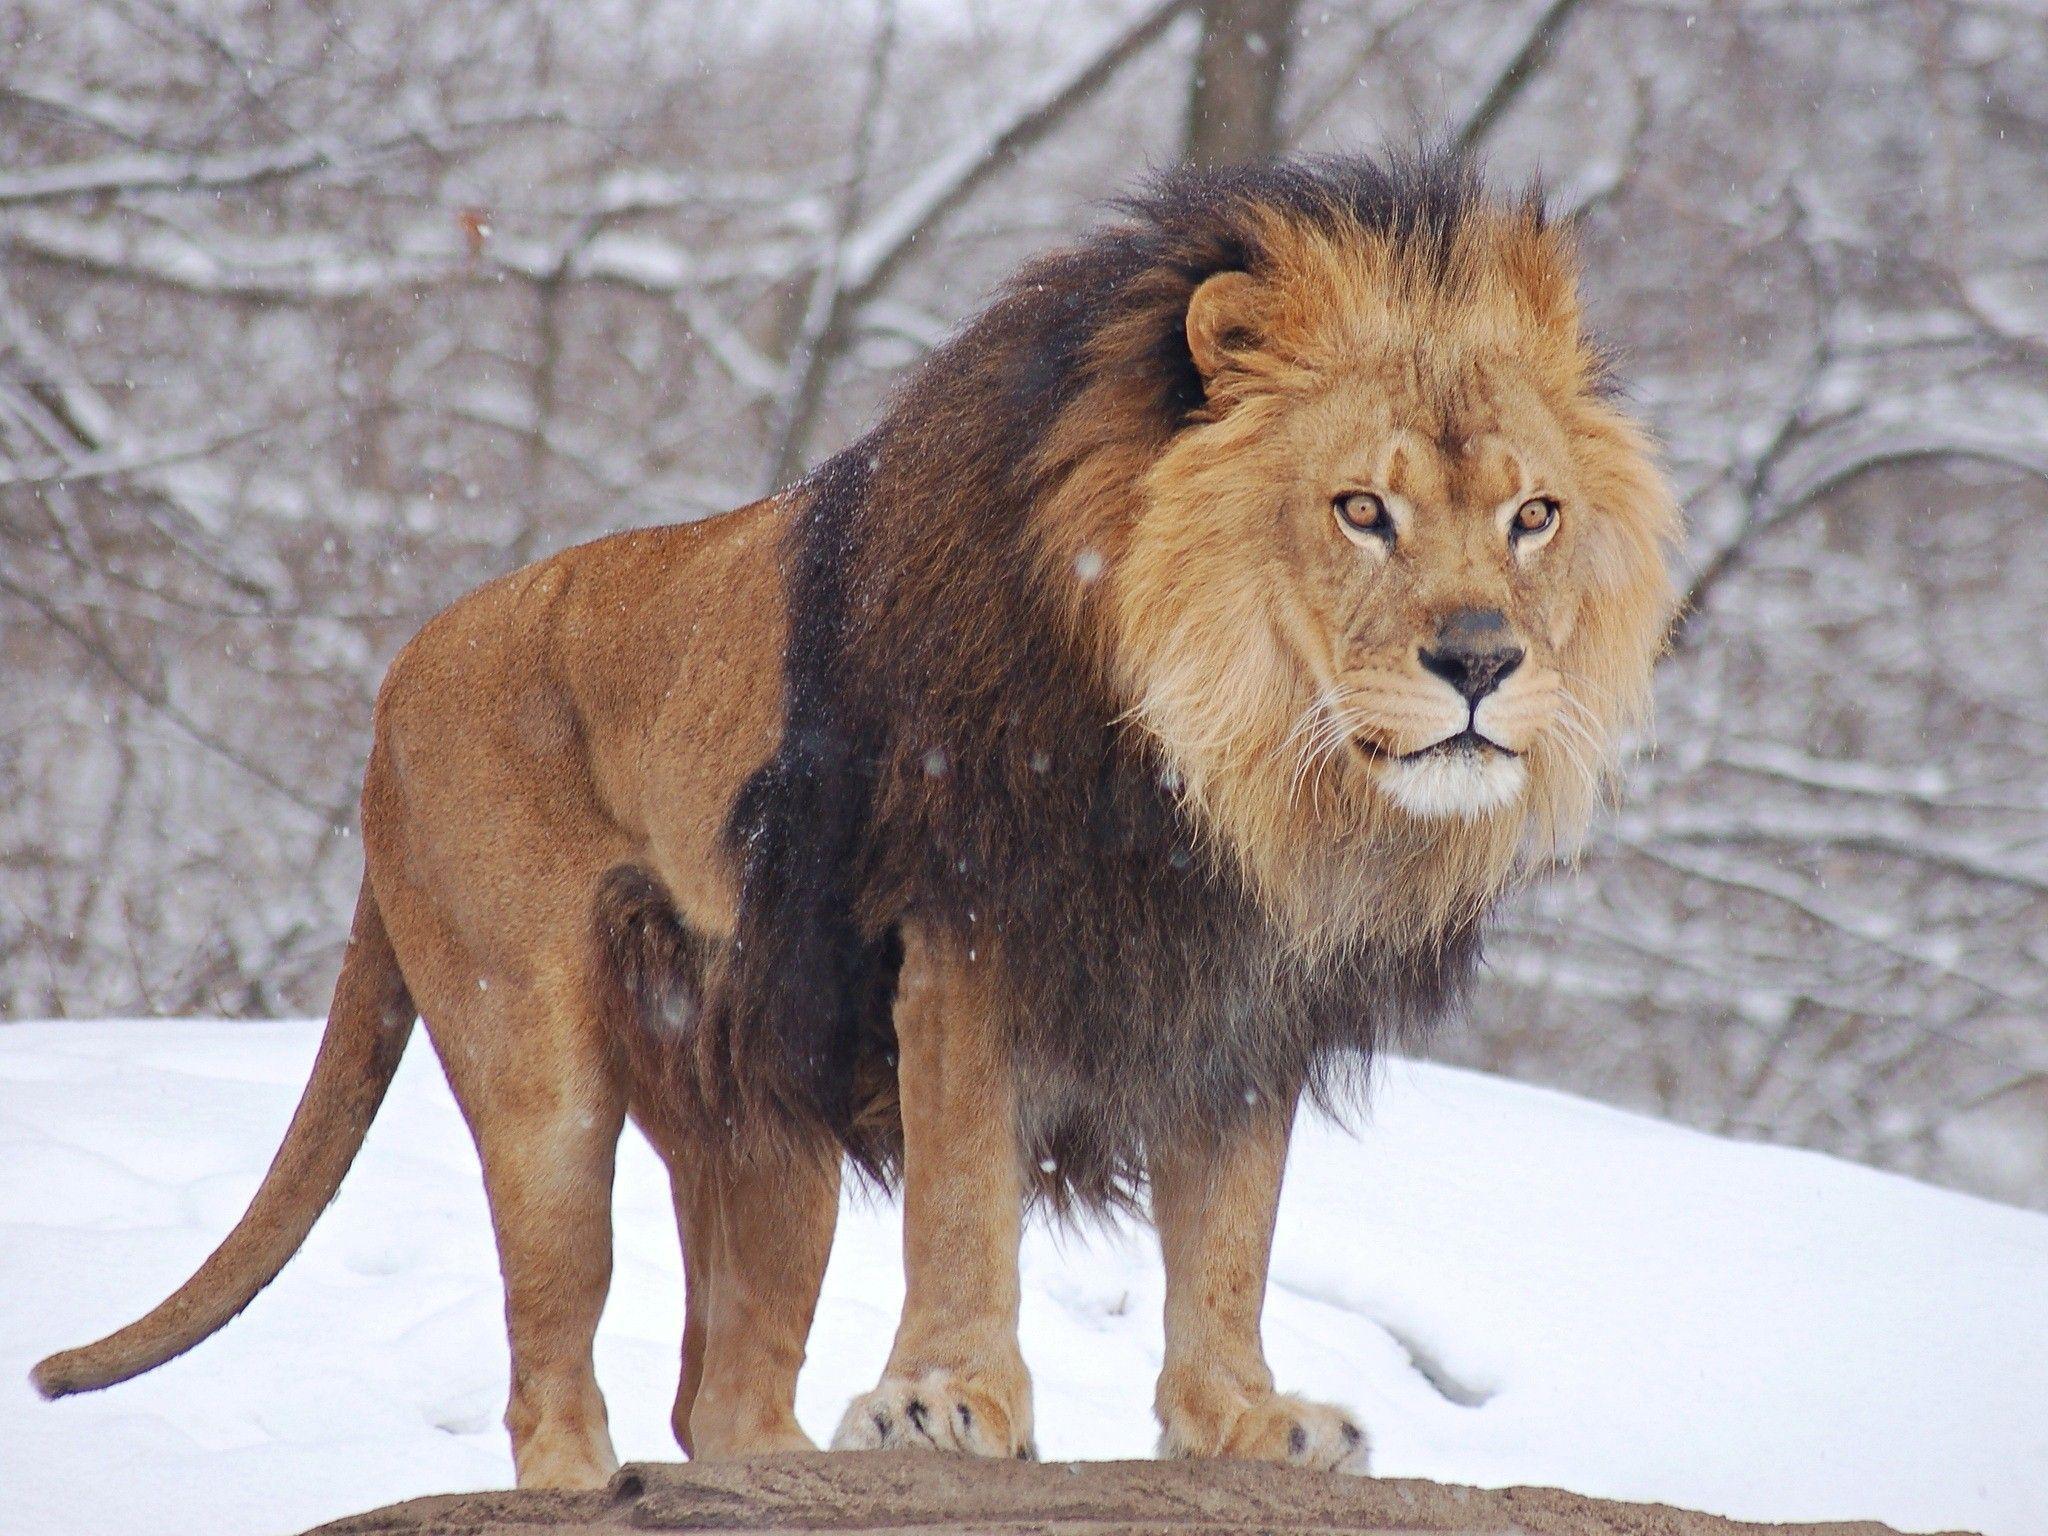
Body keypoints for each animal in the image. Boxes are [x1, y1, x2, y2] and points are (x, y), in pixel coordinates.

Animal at [33, 150, 1679, 1488]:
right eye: (1361, 511)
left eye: (1531, 517)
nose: (1480, 664)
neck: (1231, 773)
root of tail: (391, 686)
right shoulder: (963, 923)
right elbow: (964, 1191)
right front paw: (949, 1403)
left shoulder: (1240, 999)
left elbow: (1229, 1236)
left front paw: (1243, 1421)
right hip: (538, 1067)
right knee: (552, 1368)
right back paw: (594, 1479)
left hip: (764, 1127)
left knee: (719, 1395)